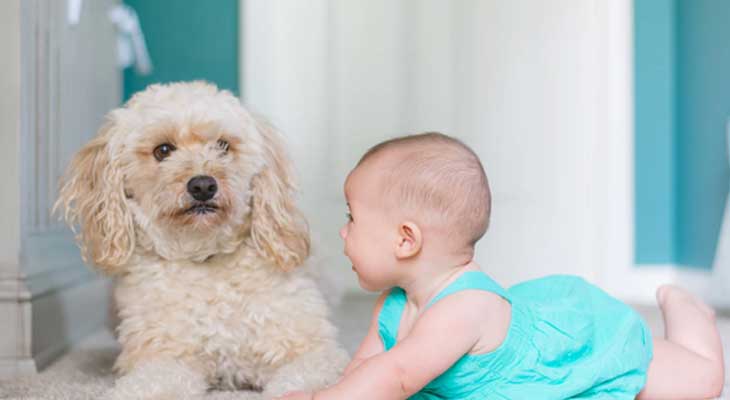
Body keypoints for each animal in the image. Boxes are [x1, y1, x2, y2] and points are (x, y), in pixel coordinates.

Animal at [58, 79, 348, 398]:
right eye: (163, 150)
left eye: (223, 145)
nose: (203, 185)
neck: (206, 257)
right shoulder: (164, 360)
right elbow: (146, 386)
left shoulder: (312, 351)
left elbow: (298, 380)